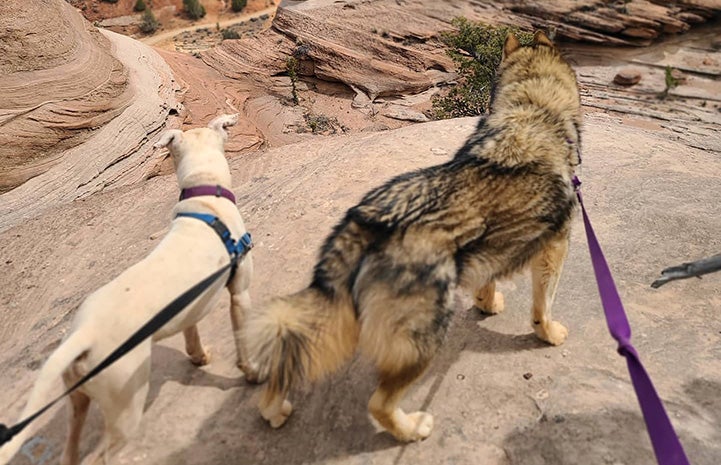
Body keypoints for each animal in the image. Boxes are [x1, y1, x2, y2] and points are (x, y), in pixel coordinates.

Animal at [0, 113, 258, 464]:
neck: (206, 198)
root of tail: (85, 335)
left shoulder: (189, 308)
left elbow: (191, 334)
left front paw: (200, 357)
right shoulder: (240, 294)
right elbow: (244, 342)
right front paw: (254, 374)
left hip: (77, 398)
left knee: (71, 445)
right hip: (125, 405)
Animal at [245, 31, 584, 438]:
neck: (532, 110)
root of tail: (366, 222)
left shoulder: (491, 251)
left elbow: (487, 280)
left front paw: (487, 304)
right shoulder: (555, 248)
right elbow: (542, 307)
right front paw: (548, 334)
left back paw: (273, 411)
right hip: (424, 338)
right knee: (379, 403)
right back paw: (412, 429)